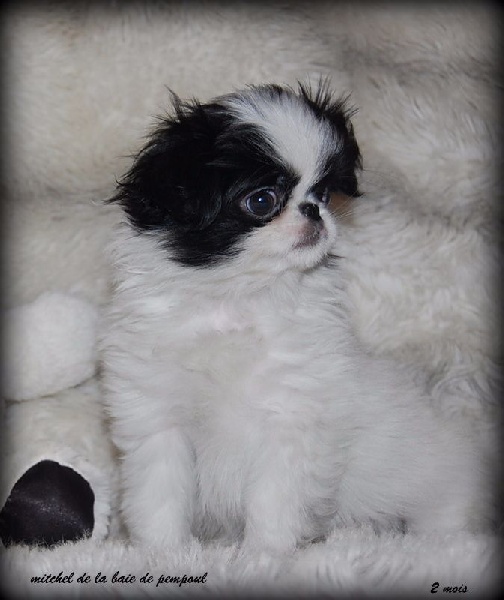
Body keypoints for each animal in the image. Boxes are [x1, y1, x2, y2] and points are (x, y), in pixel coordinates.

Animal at [102, 82, 487, 552]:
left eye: (322, 195)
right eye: (262, 201)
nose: (314, 212)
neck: (236, 301)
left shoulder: (291, 422)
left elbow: (274, 502)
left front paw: (264, 556)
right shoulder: (159, 422)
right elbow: (160, 499)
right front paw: (164, 555)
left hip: (439, 495)